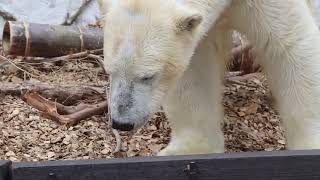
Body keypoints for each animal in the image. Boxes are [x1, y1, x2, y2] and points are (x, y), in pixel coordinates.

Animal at [99, 0, 320, 155]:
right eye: (110, 71)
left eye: (148, 76)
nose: (122, 123)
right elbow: (193, 68)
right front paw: (190, 149)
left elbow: (290, 46)